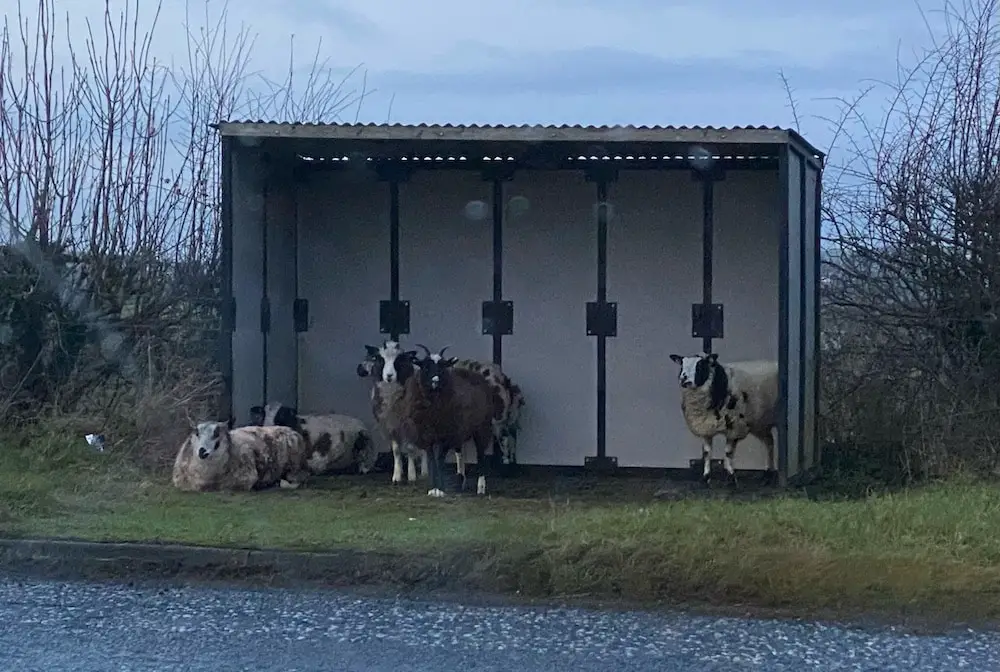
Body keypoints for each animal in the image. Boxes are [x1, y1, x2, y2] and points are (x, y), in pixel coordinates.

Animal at [672, 352, 780, 488]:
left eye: (700, 365)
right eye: (682, 365)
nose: (684, 379)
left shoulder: (735, 428)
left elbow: (728, 453)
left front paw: (731, 477)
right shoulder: (706, 427)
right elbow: (707, 453)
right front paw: (705, 478)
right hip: (760, 423)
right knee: (769, 443)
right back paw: (768, 475)